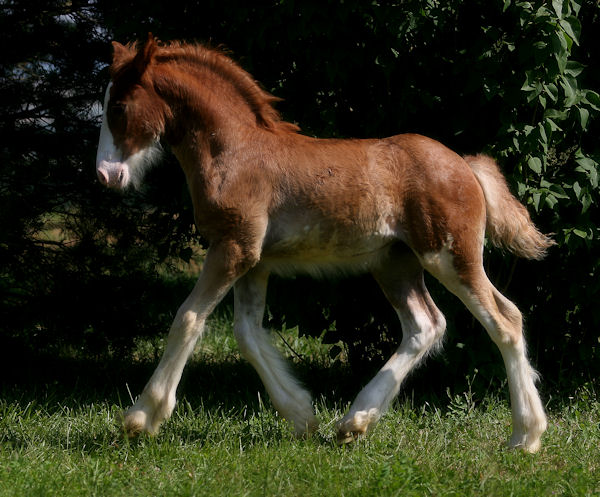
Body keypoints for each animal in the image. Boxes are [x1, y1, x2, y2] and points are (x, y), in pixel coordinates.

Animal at [97, 34, 552, 454]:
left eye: (118, 107)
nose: (105, 176)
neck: (234, 152)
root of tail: (465, 165)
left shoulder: (232, 249)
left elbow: (188, 318)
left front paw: (142, 417)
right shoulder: (254, 261)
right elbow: (247, 333)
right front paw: (302, 415)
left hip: (449, 256)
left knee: (504, 320)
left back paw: (524, 437)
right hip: (395, 263)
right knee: (427, 325)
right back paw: (355, 422)